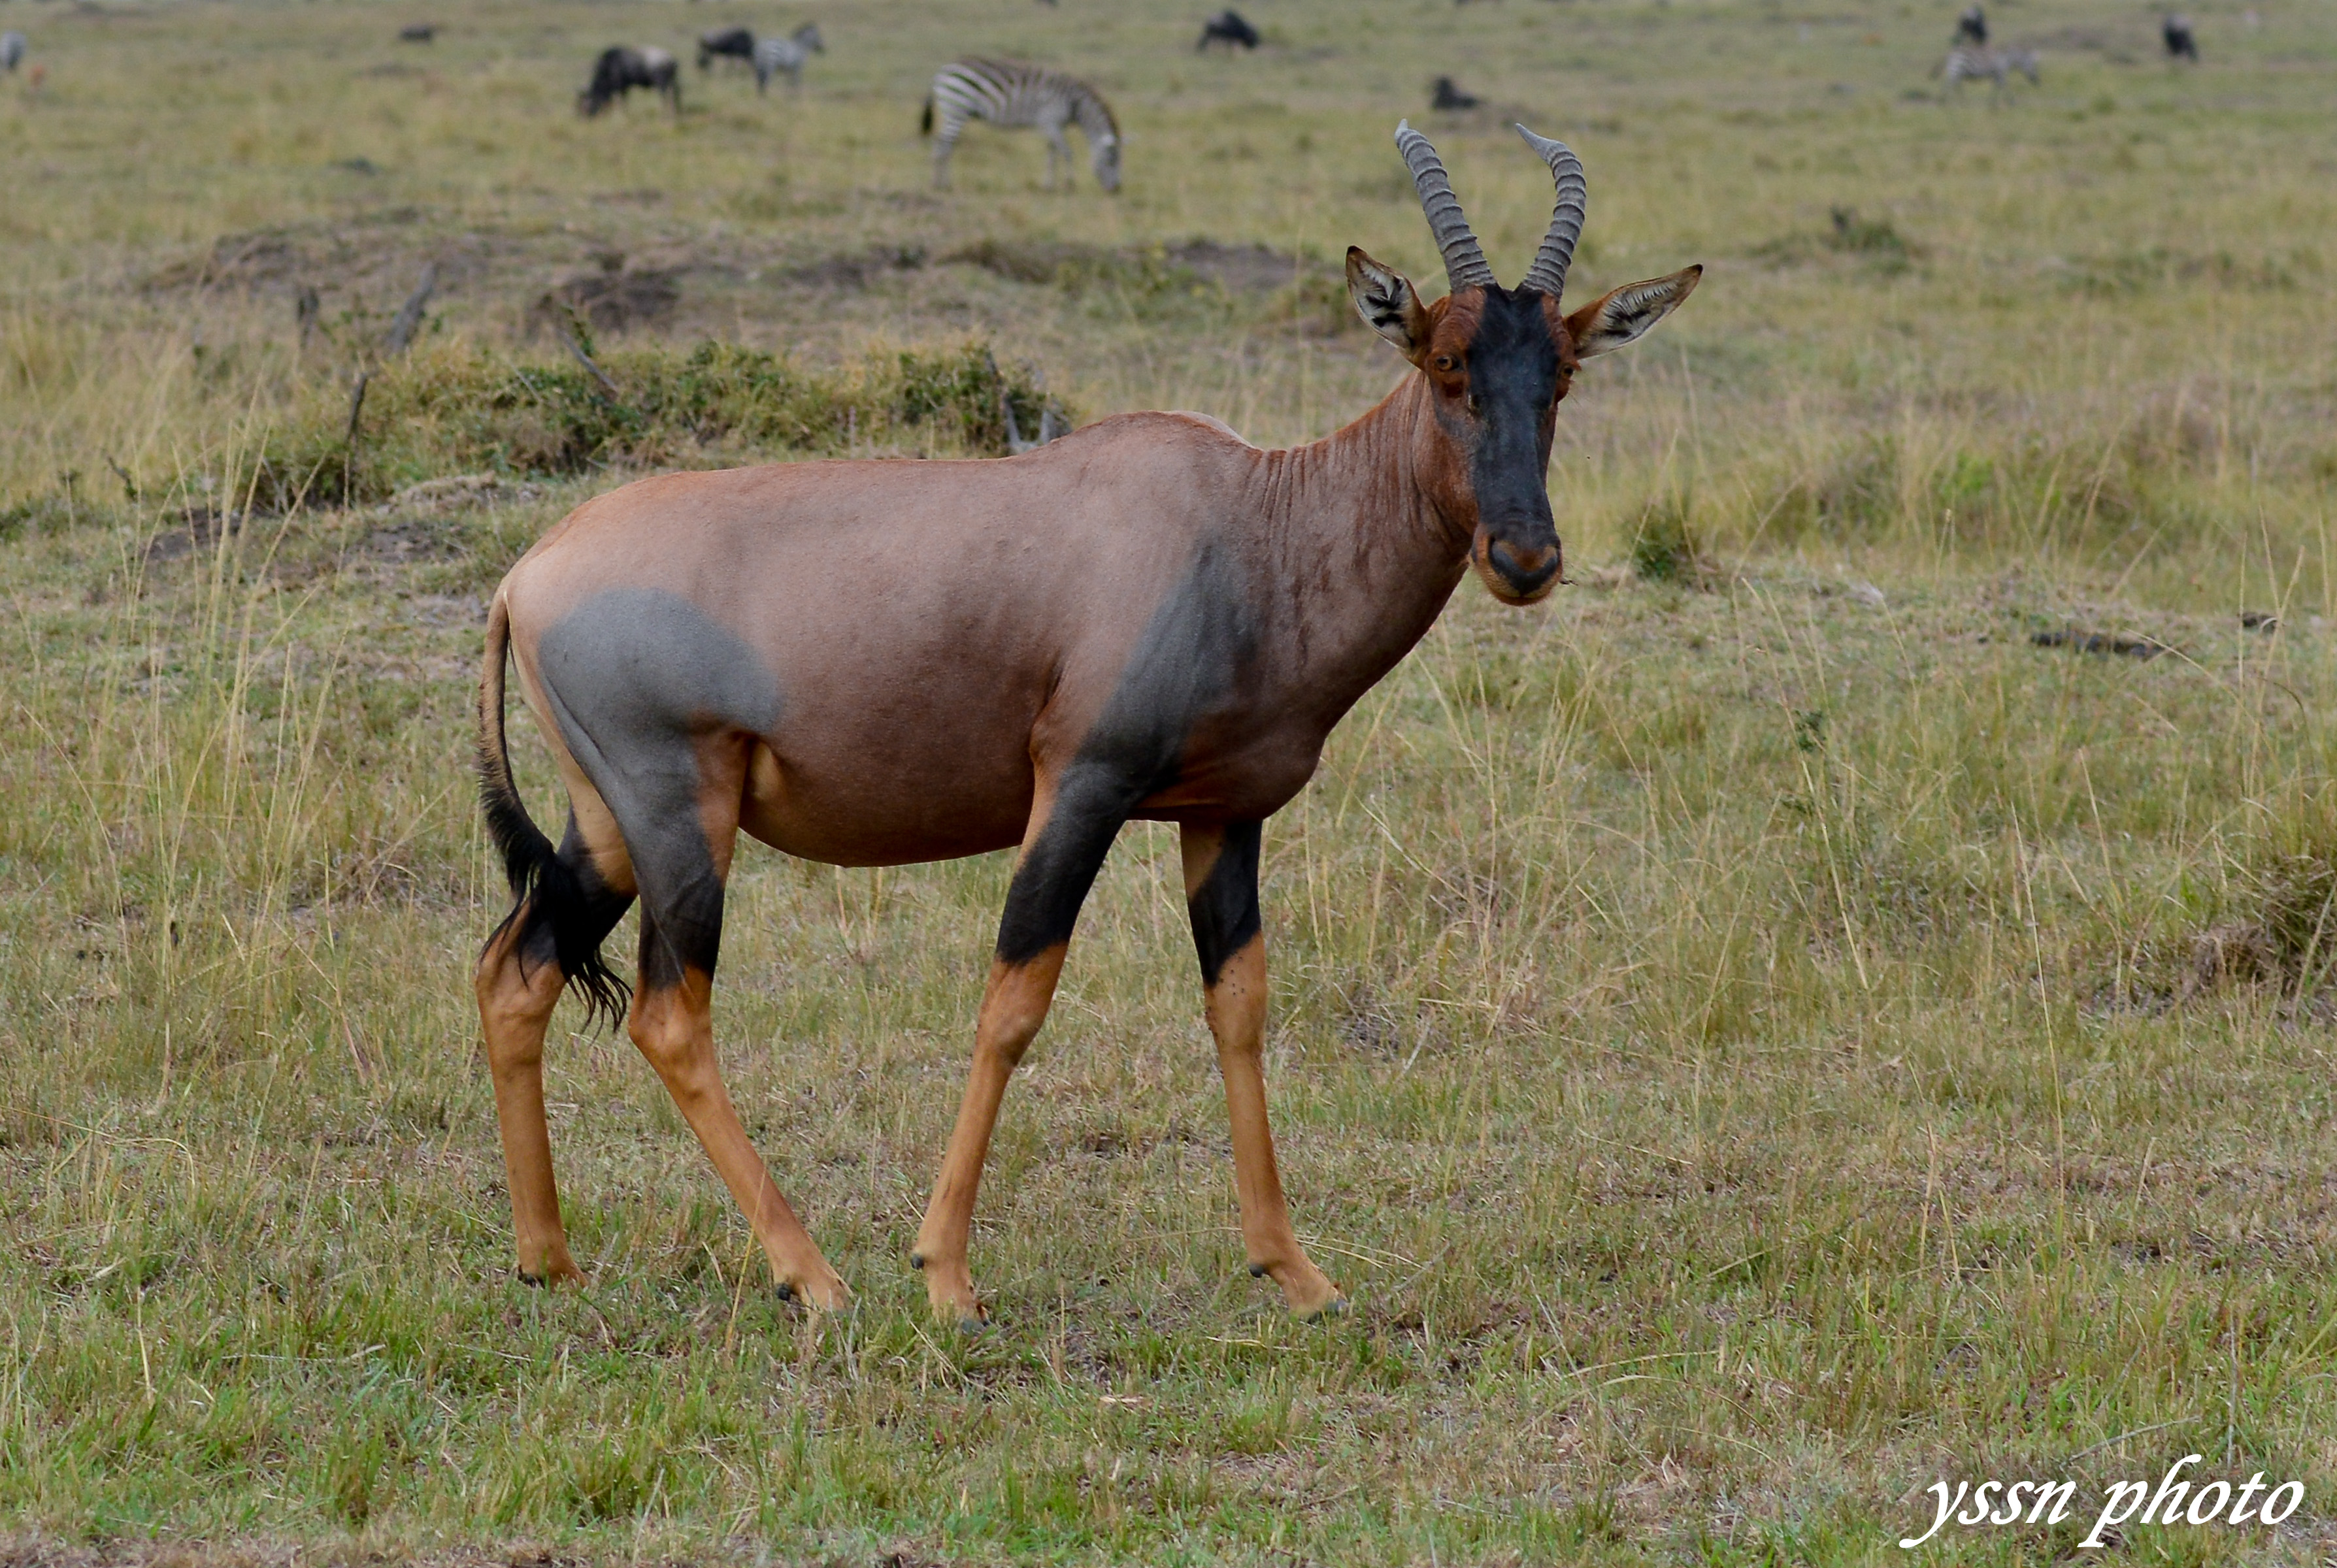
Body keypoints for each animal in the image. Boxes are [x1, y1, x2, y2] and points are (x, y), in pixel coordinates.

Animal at [474, 120, 1710, 1327]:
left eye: (1560, 373)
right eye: (1447, 363)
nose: (1525, 559)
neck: (1245, 522)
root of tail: (527, 572)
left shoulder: (1225, 815)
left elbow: (1239, 1007)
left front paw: (1296, 1272)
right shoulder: (1081, 786)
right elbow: (1014, 1003)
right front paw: (947, 1278)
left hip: (608, 825)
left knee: (516, 971)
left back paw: (549, 1262)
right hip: (681, 813)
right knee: (668, 1016)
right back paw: (811, 1278)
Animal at [579, 45, 682, 116]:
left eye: (584, 106)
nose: (581, 117)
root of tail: (672, 61)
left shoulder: (620, 86)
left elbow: (621, 101)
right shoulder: (624, 87)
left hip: (662, 84)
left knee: (666, 97)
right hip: (671, 82)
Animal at [916, 56, 1117, 191]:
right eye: (1111, 160)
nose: (1117, 189)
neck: (1074, 102)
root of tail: (940, 73)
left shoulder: (1051, 127)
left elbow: (1051, 154)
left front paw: (1049, 186)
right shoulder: (1051, 122)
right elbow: (1067, 152)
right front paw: (1070, 184)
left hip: (952, 111)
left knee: (942, 143)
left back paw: (940, 183)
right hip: (957, 109)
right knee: (944, 144)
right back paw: (942, 184)